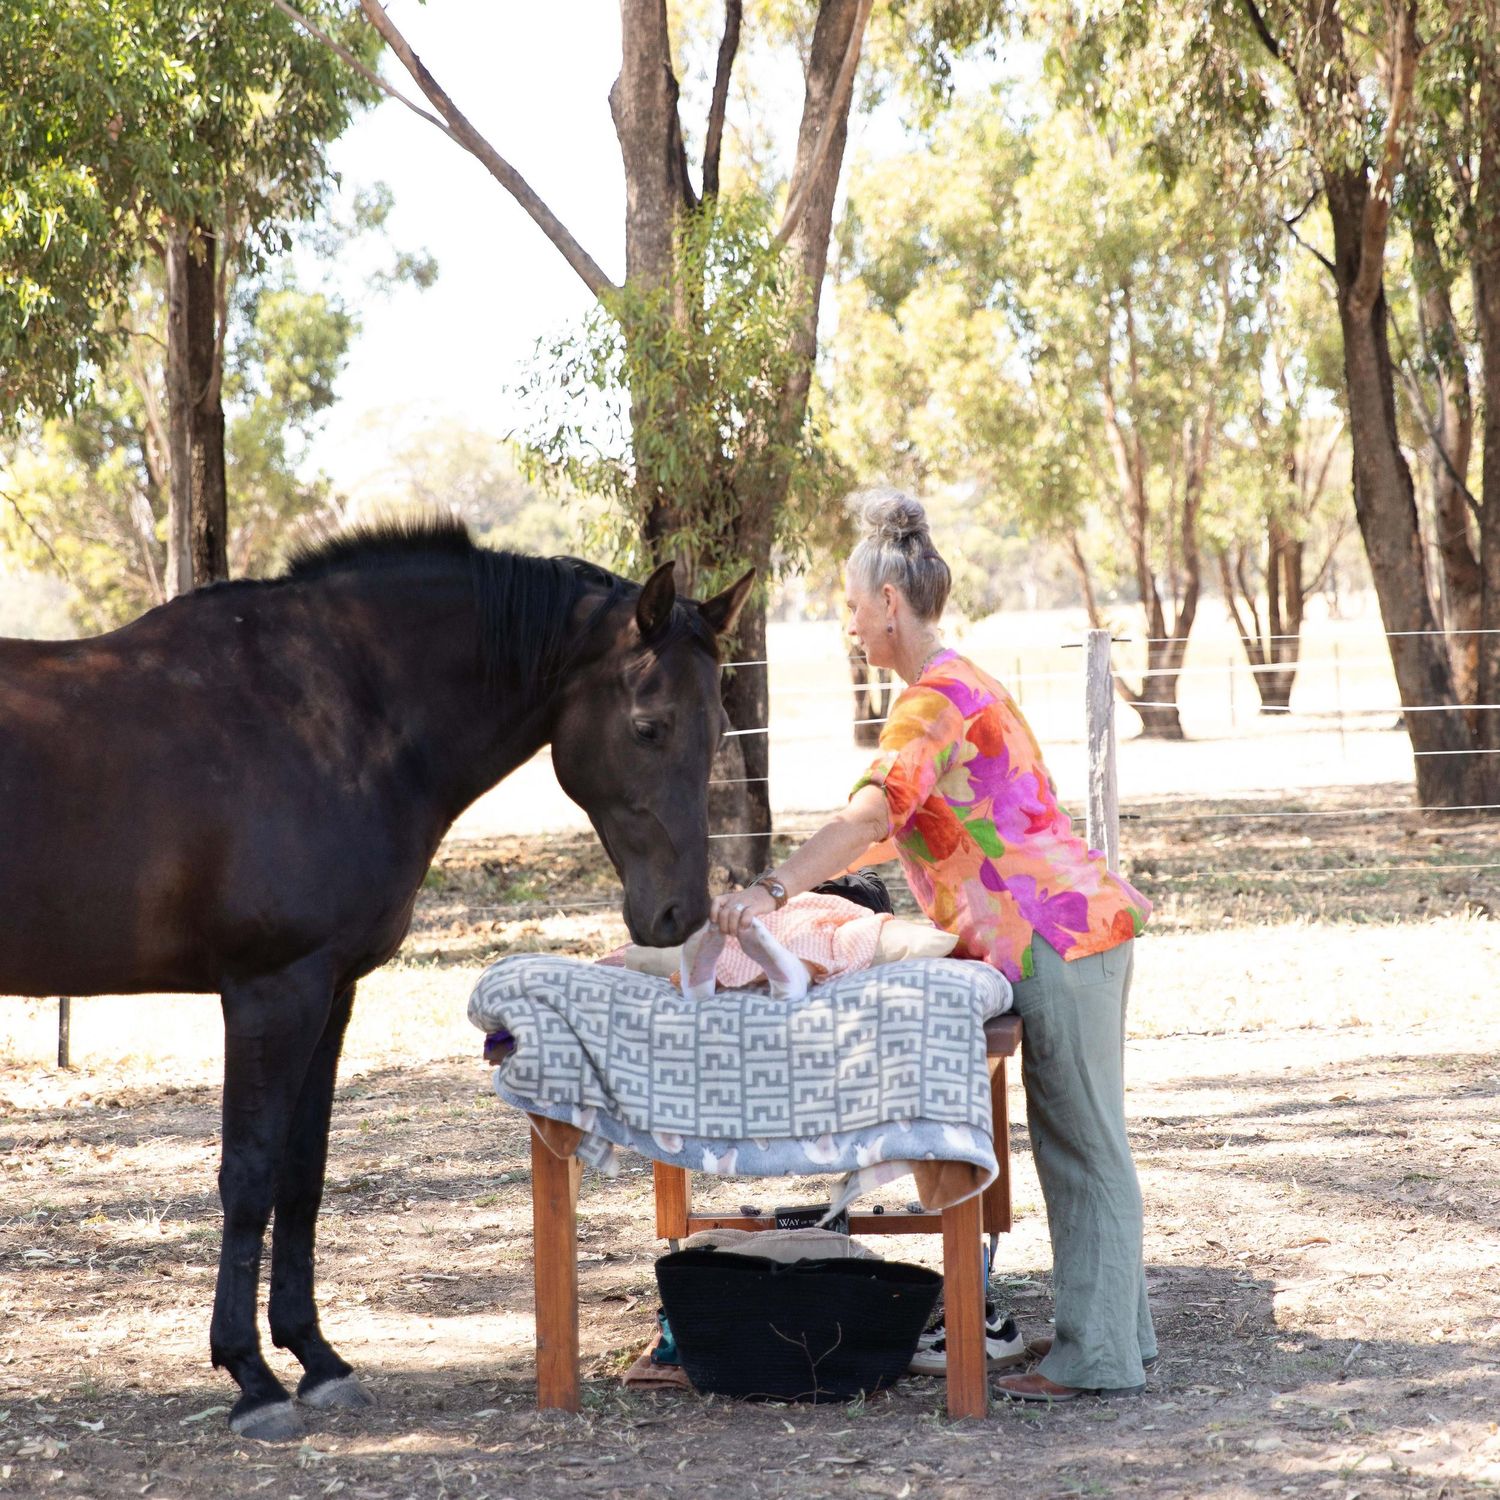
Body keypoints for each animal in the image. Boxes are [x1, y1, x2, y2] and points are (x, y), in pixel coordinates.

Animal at [0, 519, 753, 1440]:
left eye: (718, 728)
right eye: (649, 727)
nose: (681, 914)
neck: (328, 715)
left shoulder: (330, 993)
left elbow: (304, 1173)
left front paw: (315, 1359)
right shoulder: (270, 992)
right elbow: (249, 1174)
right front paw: (251, 1378)